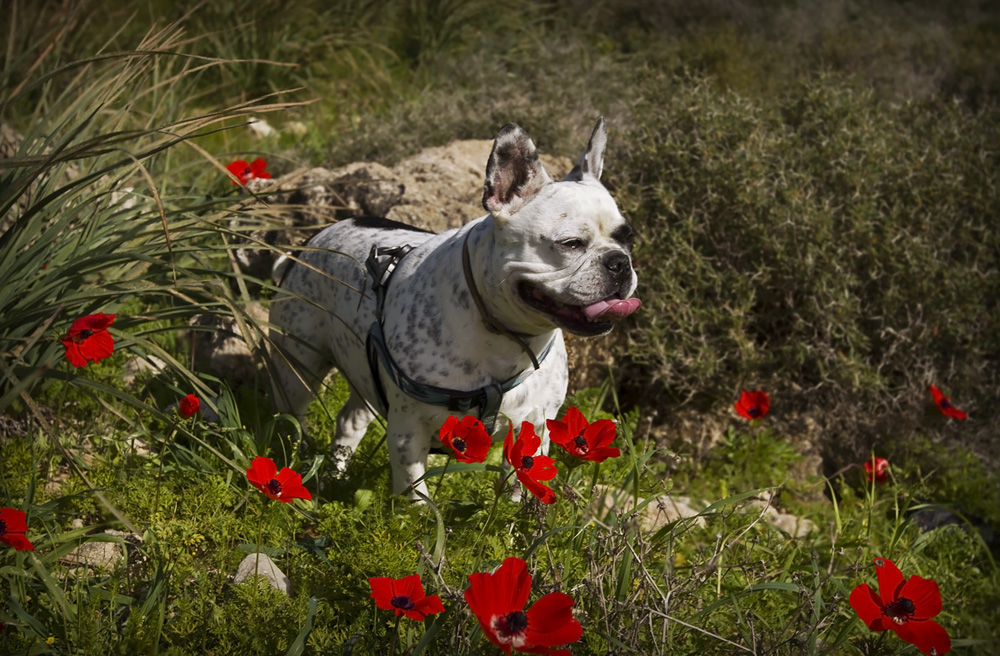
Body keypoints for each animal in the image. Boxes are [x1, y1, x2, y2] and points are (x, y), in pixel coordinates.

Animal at [268, 119, 640, 498]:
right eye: (571, 244)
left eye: (629, 239)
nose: (619, 262)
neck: (504, 336)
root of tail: (312, 240)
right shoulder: (408, 432)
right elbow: (415, 493)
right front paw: (417, 512)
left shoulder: (533, 430)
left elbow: (520, 492)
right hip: (298, 367)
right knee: (293, 416)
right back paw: (295, 466)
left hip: (365, 370)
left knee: (349, 420)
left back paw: (334, 476)